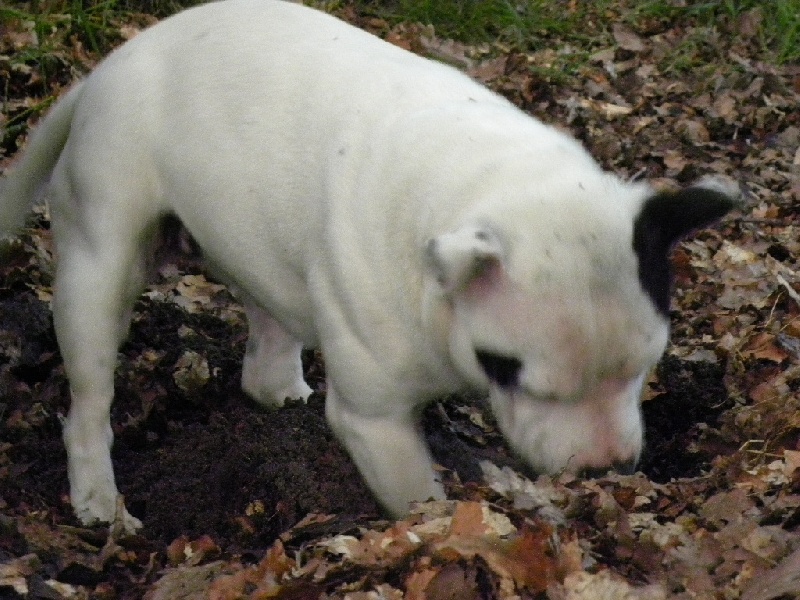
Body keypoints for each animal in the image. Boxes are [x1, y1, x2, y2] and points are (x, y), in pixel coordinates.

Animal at [0, 0, 736, 528]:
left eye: (644, 368)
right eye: (514, 372)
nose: (604, 467)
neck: (488, 183)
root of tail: (109, 65)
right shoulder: (377, 424)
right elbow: (420, 502)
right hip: (98, 268)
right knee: (89, 397)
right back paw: (99, 500)